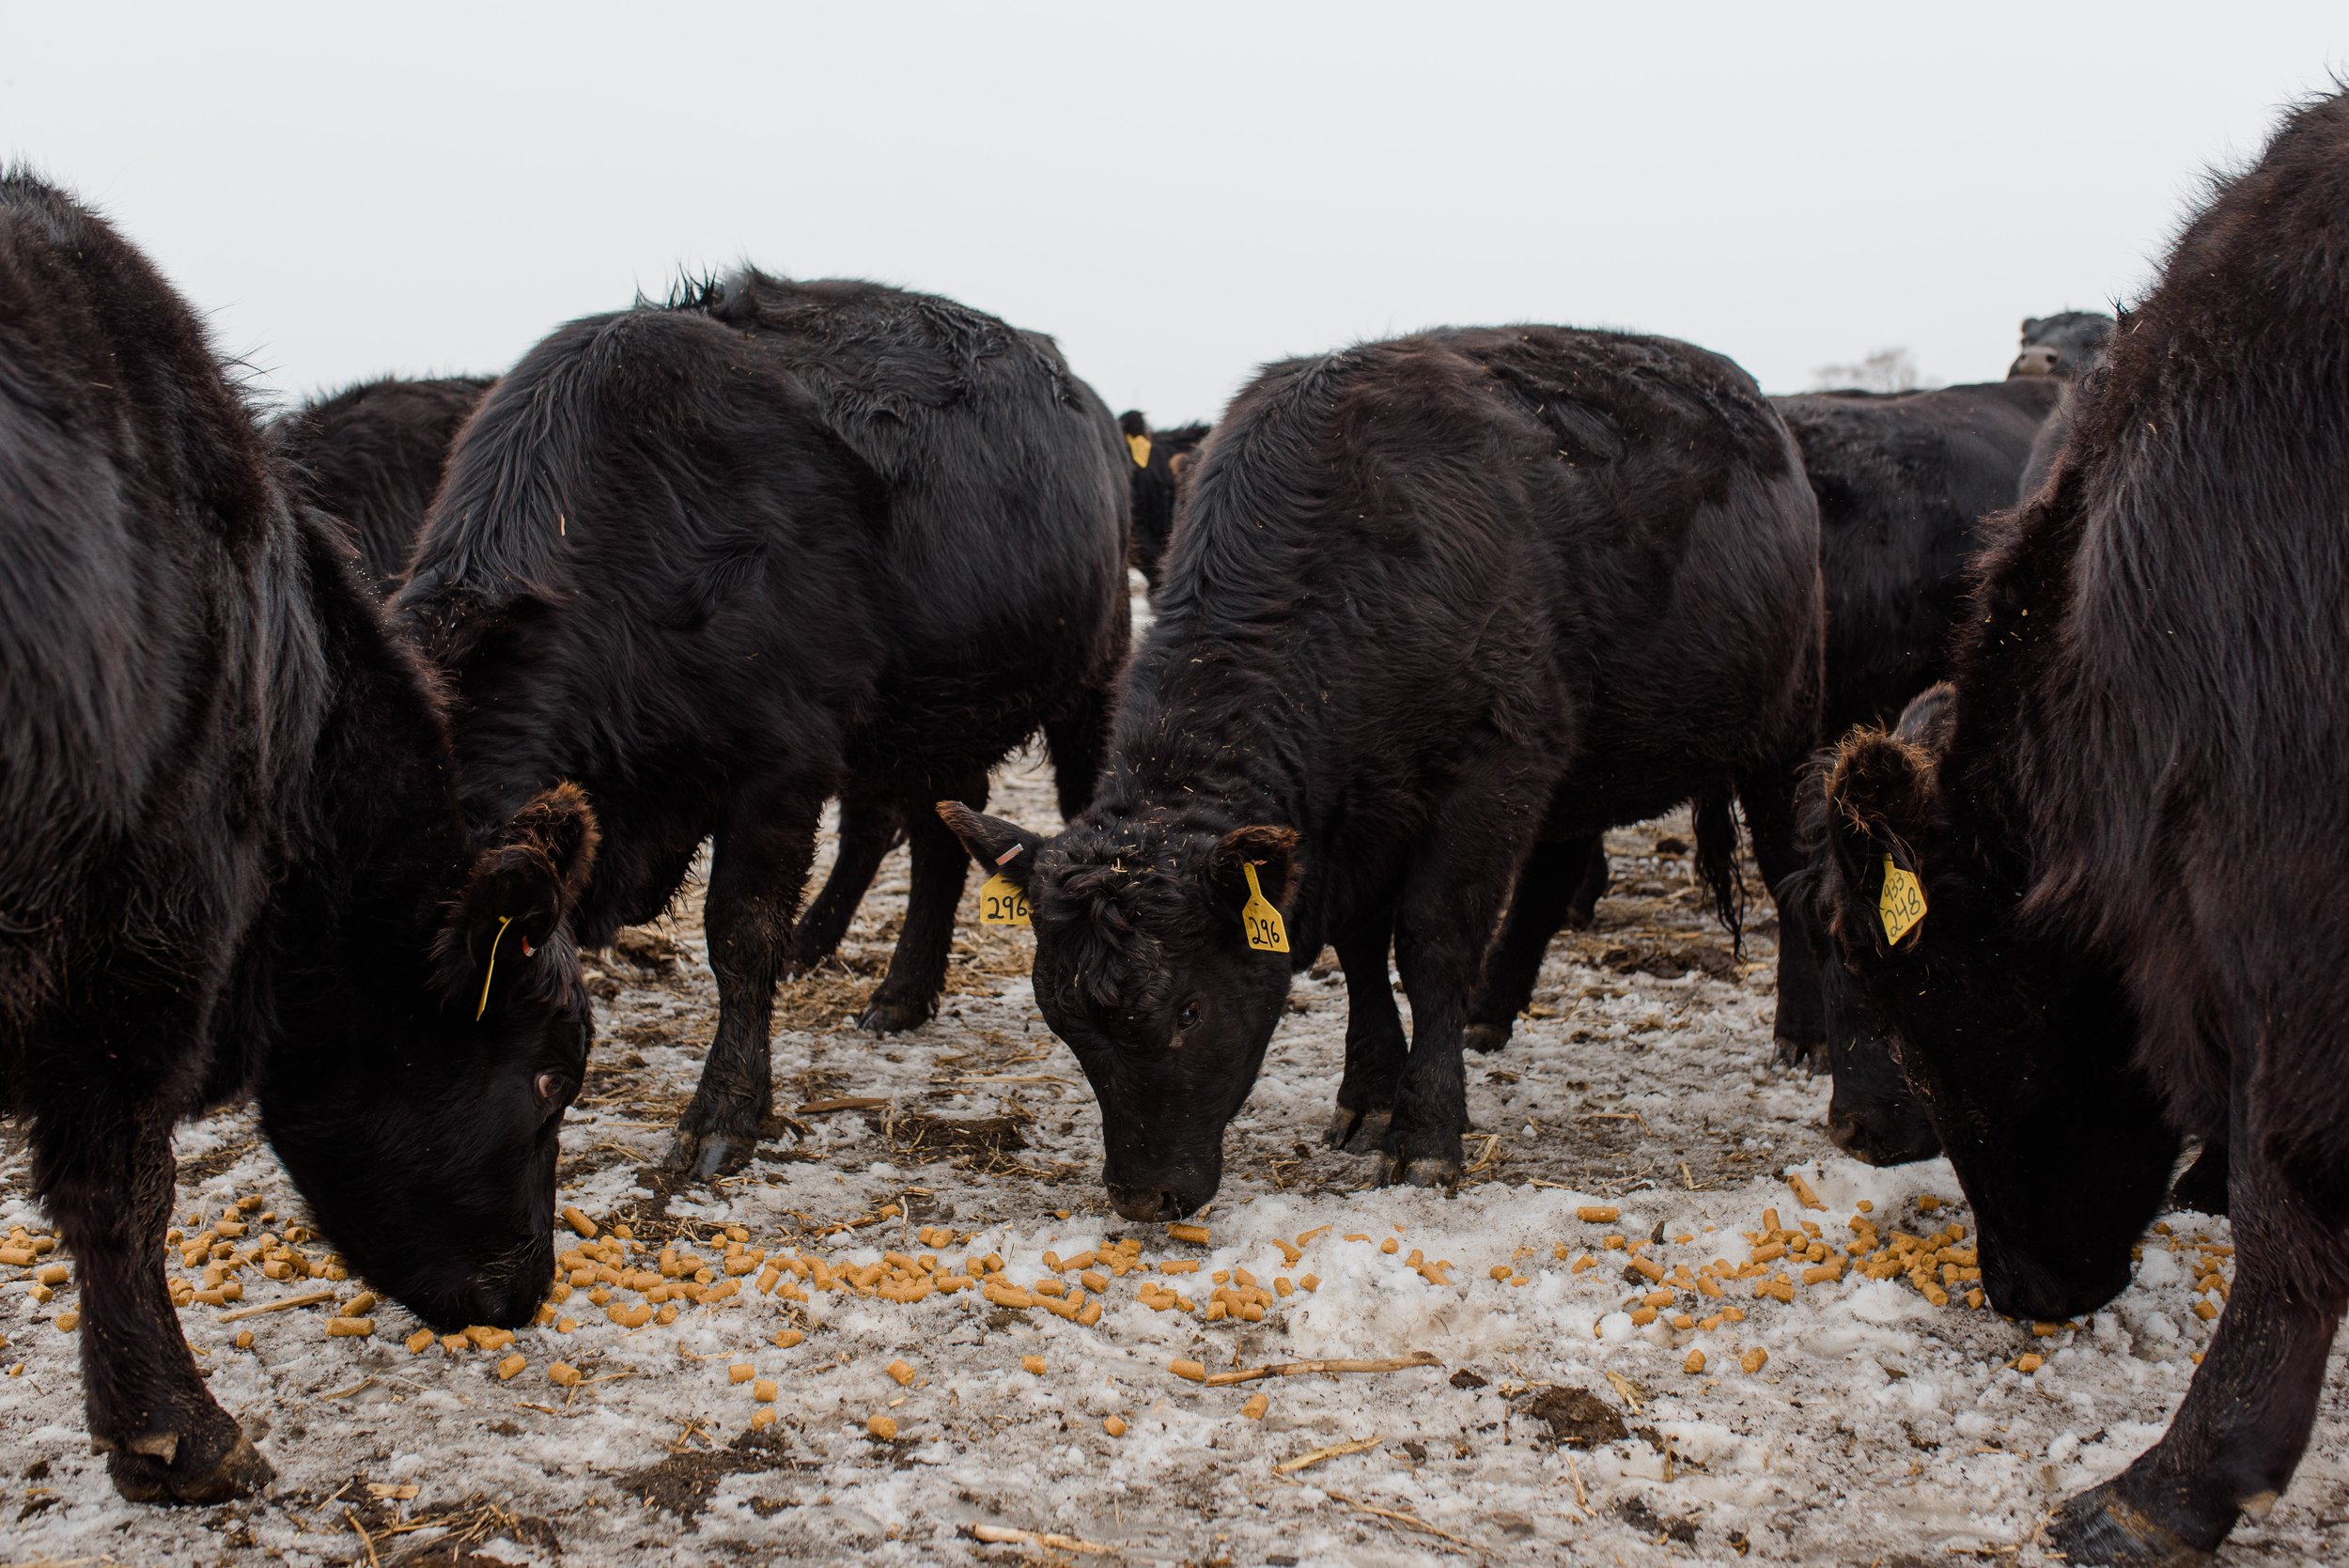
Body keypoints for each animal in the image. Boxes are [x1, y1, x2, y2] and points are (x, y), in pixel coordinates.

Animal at [399, 270, 1132, 1173]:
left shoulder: (780, 769)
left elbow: (740, 936)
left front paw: (724, 1113)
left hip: (1089, 685)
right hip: (932, 726)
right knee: (936, 843)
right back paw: (900, 994)